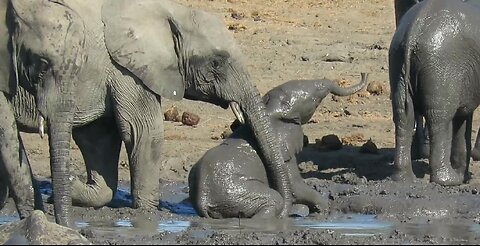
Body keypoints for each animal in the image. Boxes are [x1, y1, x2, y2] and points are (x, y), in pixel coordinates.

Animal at [188, 72, 368, 217]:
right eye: (315, 97)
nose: (363, 74)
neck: (271, 110)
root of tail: (202, 201)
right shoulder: (284, 150)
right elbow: (295, 186)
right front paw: (324, 211)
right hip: (235, 194)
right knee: (274, 201)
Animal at [390, 0, 480, 185]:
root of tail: (414, 30)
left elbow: (463, 115)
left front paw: (464, 176)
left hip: (397, 59)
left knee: (403, 114)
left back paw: (403, 179)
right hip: (440, 64)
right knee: (439, 117)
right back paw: (448, 180)